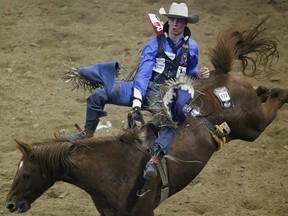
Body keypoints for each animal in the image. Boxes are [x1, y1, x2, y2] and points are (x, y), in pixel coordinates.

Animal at [5, 19, 288, 216]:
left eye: (27, 174)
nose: (9, 204)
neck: (110, 171)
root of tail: (220, 75)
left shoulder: (144, 211)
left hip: (253, 127)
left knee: (272, 105)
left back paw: (281, 91)